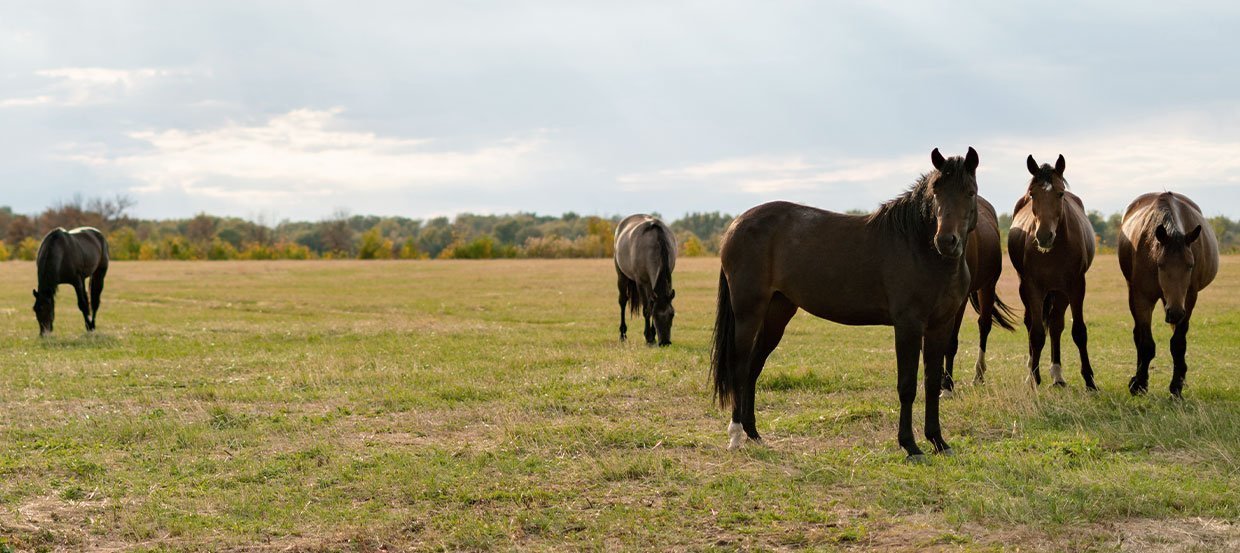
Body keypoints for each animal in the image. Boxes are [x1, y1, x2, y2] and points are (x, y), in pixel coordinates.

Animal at [612, 213, 679, 344]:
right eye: (655, 315)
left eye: (672, 314)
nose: (665, 342)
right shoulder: (641, 283)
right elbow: (646, 309)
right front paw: (648, 337)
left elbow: (651, 304)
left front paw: (652, 335)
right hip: (621, 276)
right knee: (623, 301)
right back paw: (622, 334)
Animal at [714, 145, 982, 458]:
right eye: (936, 192)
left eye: (970, 192)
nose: (946, 241)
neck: (921, 250)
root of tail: (735, 225)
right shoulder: (908, 326)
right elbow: (907, 386)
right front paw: (910, 445)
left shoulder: (941, 325)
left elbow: (931, 382)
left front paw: (938, 441)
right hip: (748, 312)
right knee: (740, 366)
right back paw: (735, 434)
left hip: (777, 313)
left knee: (754, 368)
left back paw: (753, 433)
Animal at [937, 195, 1016, 396]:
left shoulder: (960, 300)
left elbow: (950, 342)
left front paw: (947, 387)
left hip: (987, 286)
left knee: (984, 325)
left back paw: (978, 376)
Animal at [1006, 154, 1096, 389]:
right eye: (1032, 194)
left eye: (1060, 193)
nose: (1044, 236)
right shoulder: (1033, 287)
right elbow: (1036, 333)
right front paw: (1033, 379)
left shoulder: (1076, 286)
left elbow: (1079, 331)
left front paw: (1090, 379)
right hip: (1029, 289)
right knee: (1032, 323)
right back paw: (1033, 370)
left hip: (1060, 291)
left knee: (1056, 325)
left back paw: (1057, 375)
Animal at [1116, 192, 1220, 394]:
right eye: (1160, 264)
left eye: (1190, 265)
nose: (1176, 312)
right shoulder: (1142, 298)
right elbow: (1146, 344)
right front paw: (1139, 384)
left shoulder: (1188, 299)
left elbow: (1178, 343)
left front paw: (1176, 386)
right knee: (1138, 334)